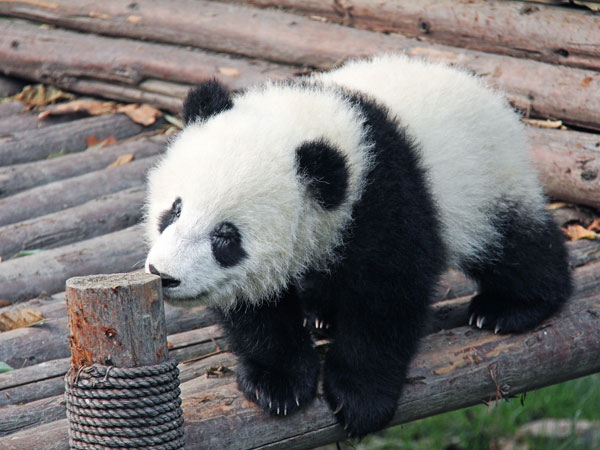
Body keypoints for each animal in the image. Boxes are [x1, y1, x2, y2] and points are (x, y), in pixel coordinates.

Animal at [144, 54, 572, 438]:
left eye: (226, 237)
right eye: (174, 209)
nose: (164, 275)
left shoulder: (384, 196)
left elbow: (386, 297)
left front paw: (359, 399)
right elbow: (257, 308)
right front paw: (278, 382)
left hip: (484, 179)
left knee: (511, 243)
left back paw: (510, 307)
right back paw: (322, 312)